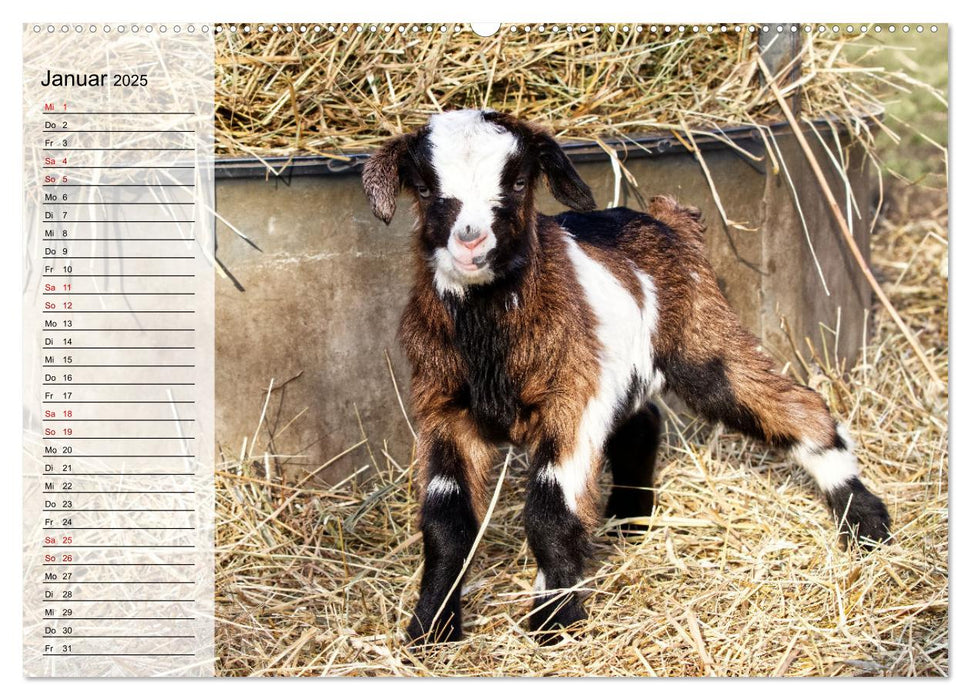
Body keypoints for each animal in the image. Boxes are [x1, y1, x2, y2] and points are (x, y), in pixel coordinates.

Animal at [362, 108, 888, 644]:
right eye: (424, 188)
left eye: (519, 181)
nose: (471, 242)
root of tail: (667, 219)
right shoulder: (445, 410)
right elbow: (446, 525)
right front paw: (430, 628)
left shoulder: (570, 401)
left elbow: (551, 512)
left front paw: (555, 623)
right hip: (622, 371)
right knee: (643, 419)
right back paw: (630, 518)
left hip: (702, 342)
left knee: (796, 406)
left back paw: (865, 520)